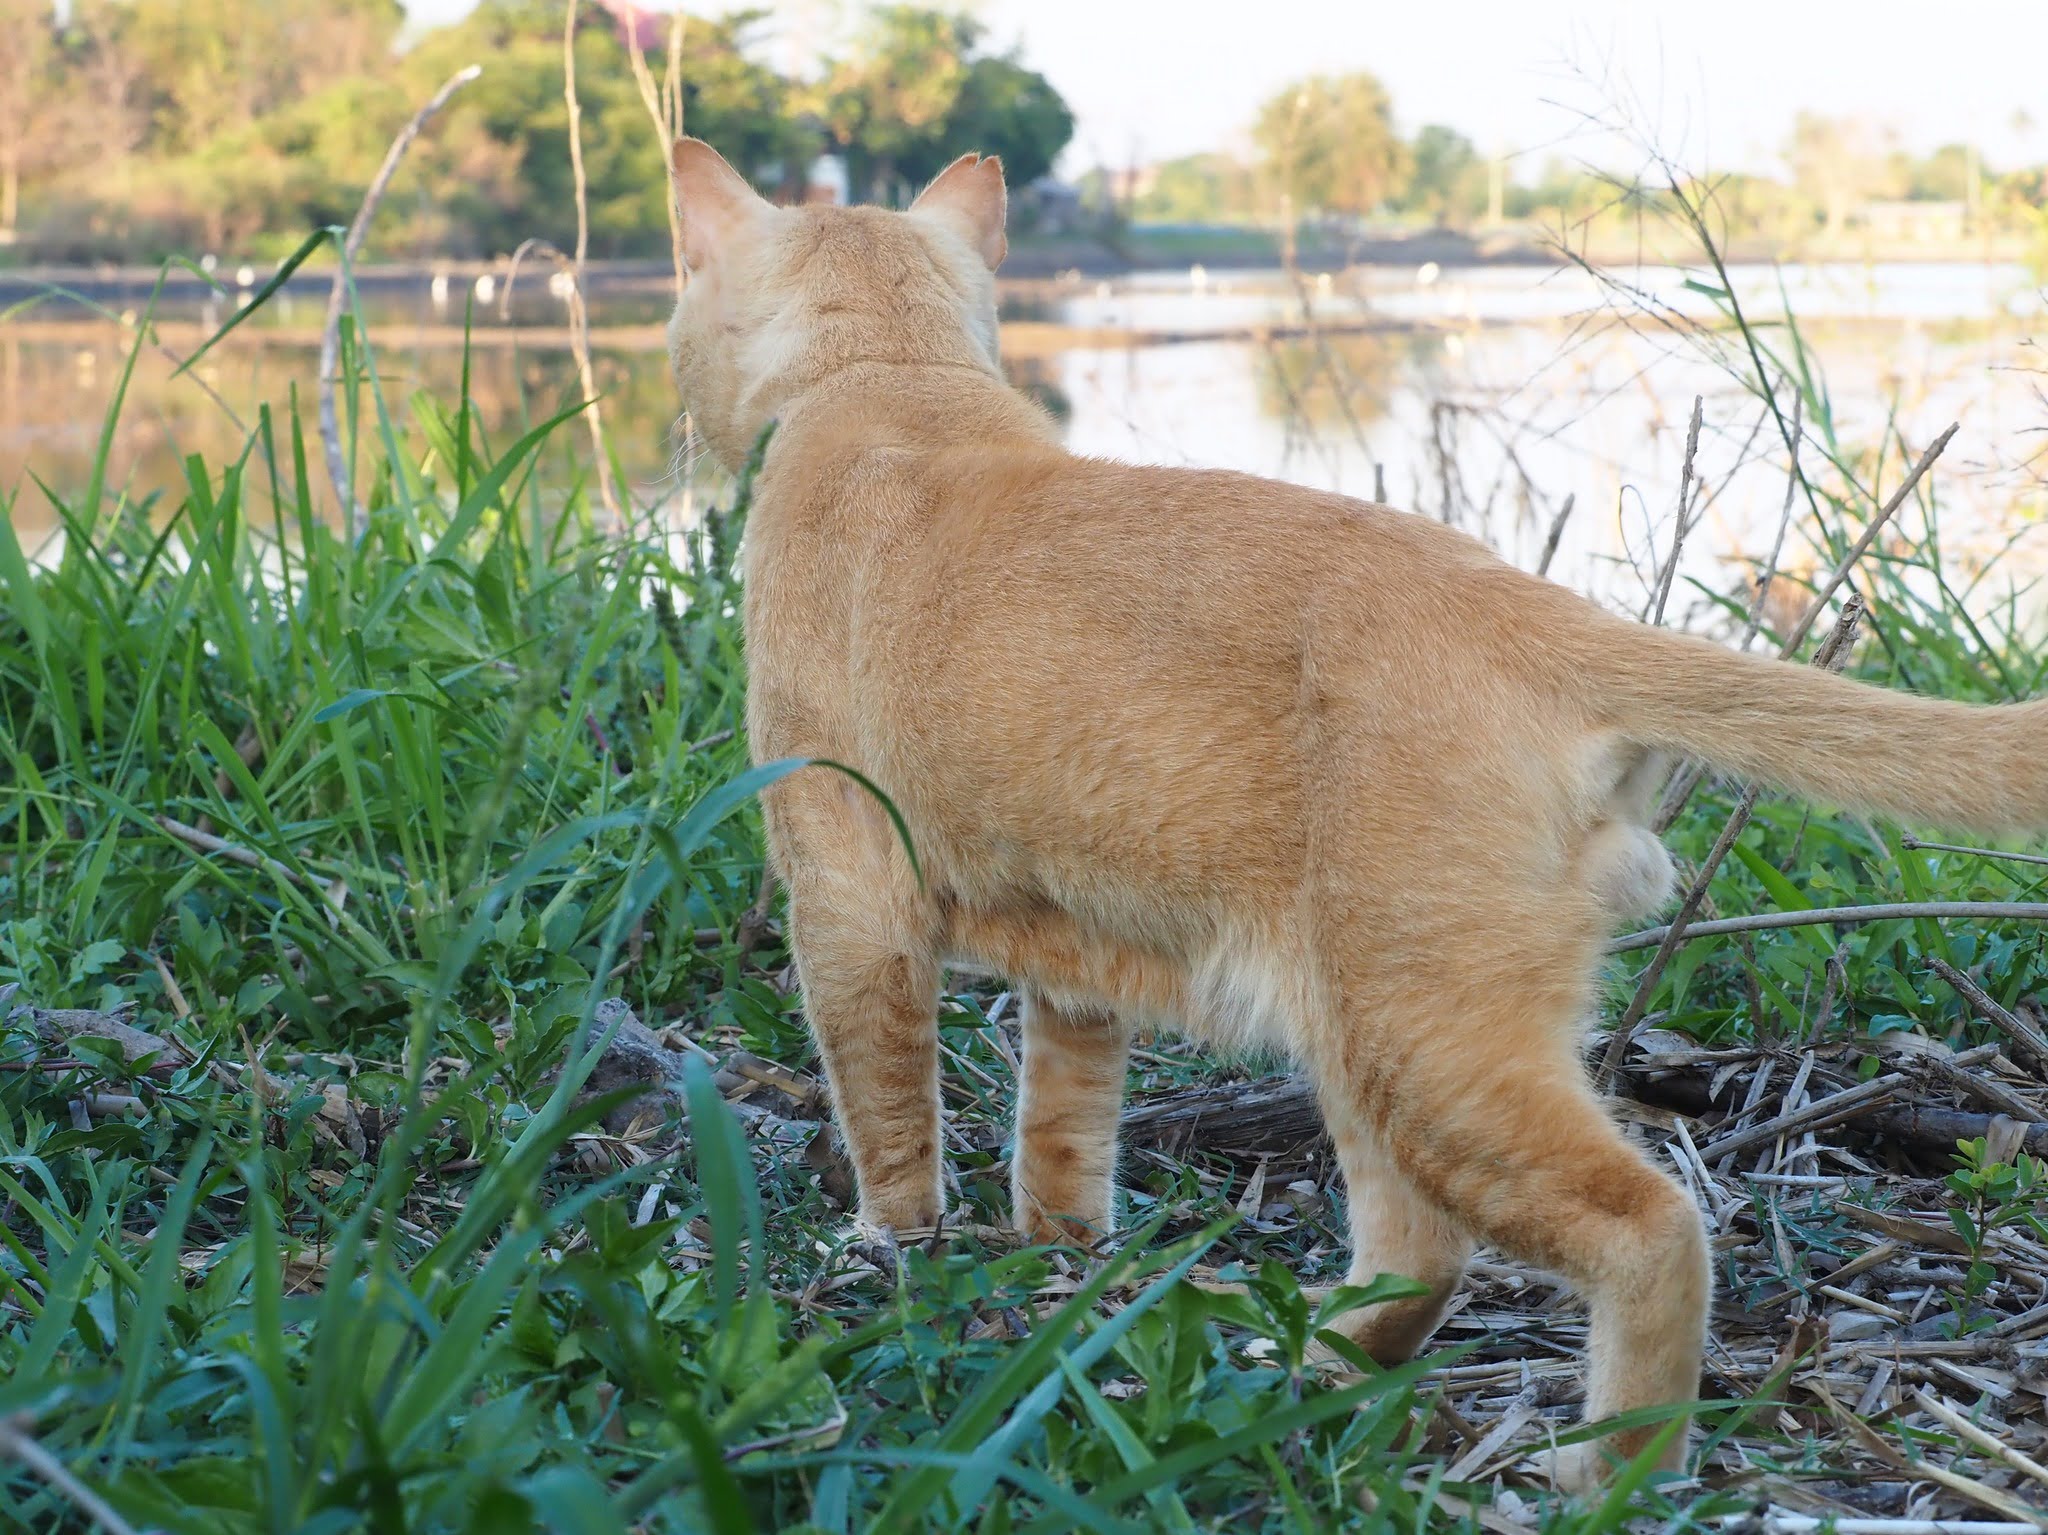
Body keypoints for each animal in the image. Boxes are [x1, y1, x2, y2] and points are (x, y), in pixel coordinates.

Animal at [664, 137, 2048, 1489]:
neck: (894, 378)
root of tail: (1543, 611)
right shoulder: (1073, 941)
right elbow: (1061, 1118)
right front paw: (1057, 1247)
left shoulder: (846, 895)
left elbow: (886, 1106)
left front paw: (890, 1247)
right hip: (1366, 1034)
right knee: (1419, 1253)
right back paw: (1299, 1364)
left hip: (1424, 1043)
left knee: (1642, 1226)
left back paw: (1606, 1471)